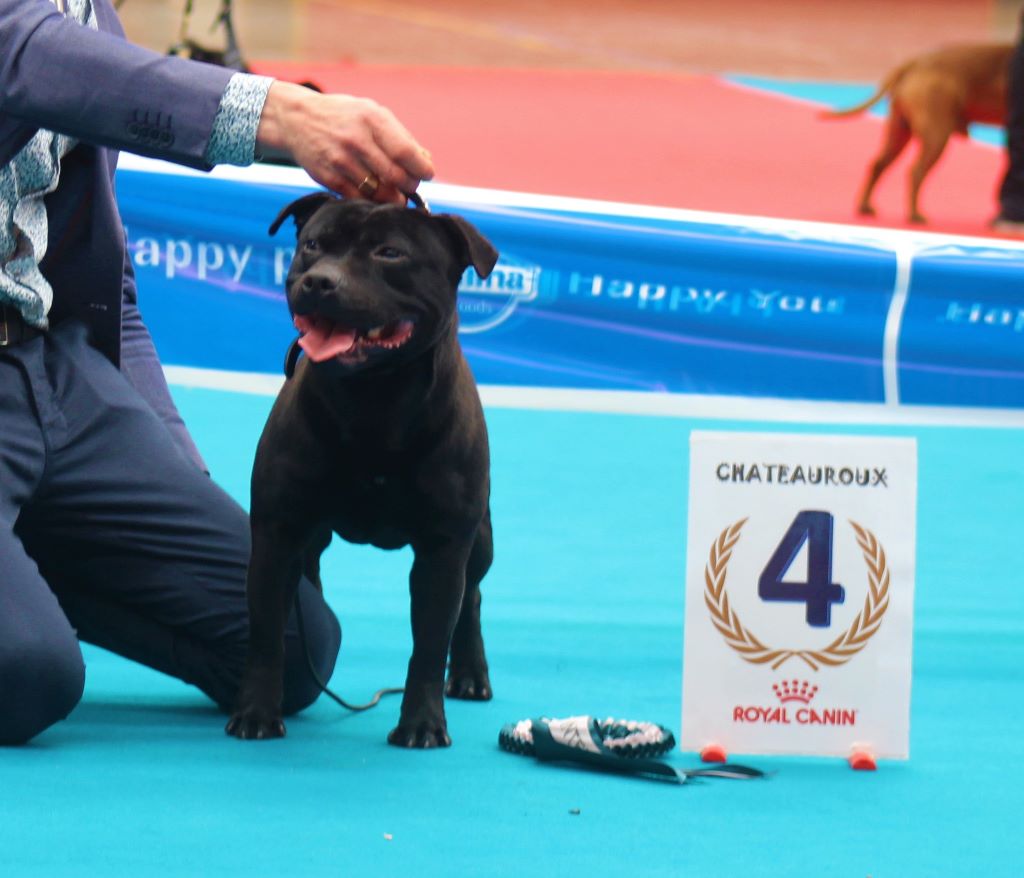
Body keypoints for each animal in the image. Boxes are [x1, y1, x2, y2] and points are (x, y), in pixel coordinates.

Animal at [226, 191, 497, 745]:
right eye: (313, 245)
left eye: (390, 253)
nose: (319, 281)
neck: (376, 399)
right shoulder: (277, 533)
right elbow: (267, 633)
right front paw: (257, 712)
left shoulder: (443, 549)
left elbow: (429, 643)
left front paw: (421, 724)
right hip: (311, 537)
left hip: (479, 539)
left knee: (472, 598)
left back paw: (469, 674)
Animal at [823, 43, 1007, 224]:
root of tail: (914, 63)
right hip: (936, 135)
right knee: (916, 171)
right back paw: (915, 214)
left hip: (899, 133)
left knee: (878, 164)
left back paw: (865, 206)